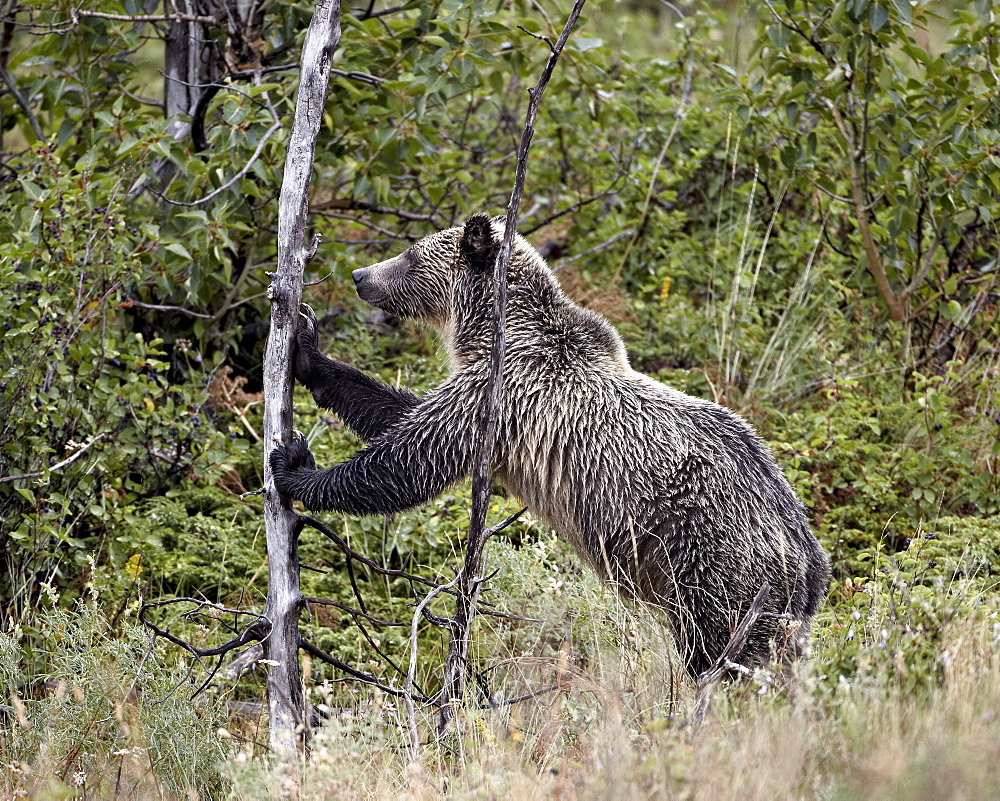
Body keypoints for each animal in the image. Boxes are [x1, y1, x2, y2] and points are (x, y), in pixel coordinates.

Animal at [272, 211, 828, 676]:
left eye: (411, 253)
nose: (360, 275)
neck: (493, 331)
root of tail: (808, 556)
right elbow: (396, 410)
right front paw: (309, 354)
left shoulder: (501, 393)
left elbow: (410, 458)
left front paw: (296, 466)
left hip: (714, 563)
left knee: (724, 653)